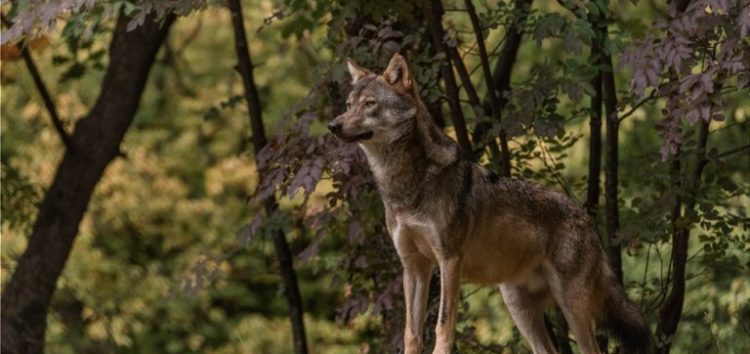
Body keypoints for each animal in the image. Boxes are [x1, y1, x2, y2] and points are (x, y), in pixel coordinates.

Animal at [328, 53, 652, 354]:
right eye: (349, 104)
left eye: (370, 104)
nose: (332, 125)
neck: (405, 184)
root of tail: (586, 218)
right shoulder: (413, 267)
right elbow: (411, 333)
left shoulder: (449, 260)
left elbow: (443, 324)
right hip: (518, 307)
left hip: (571, 307)